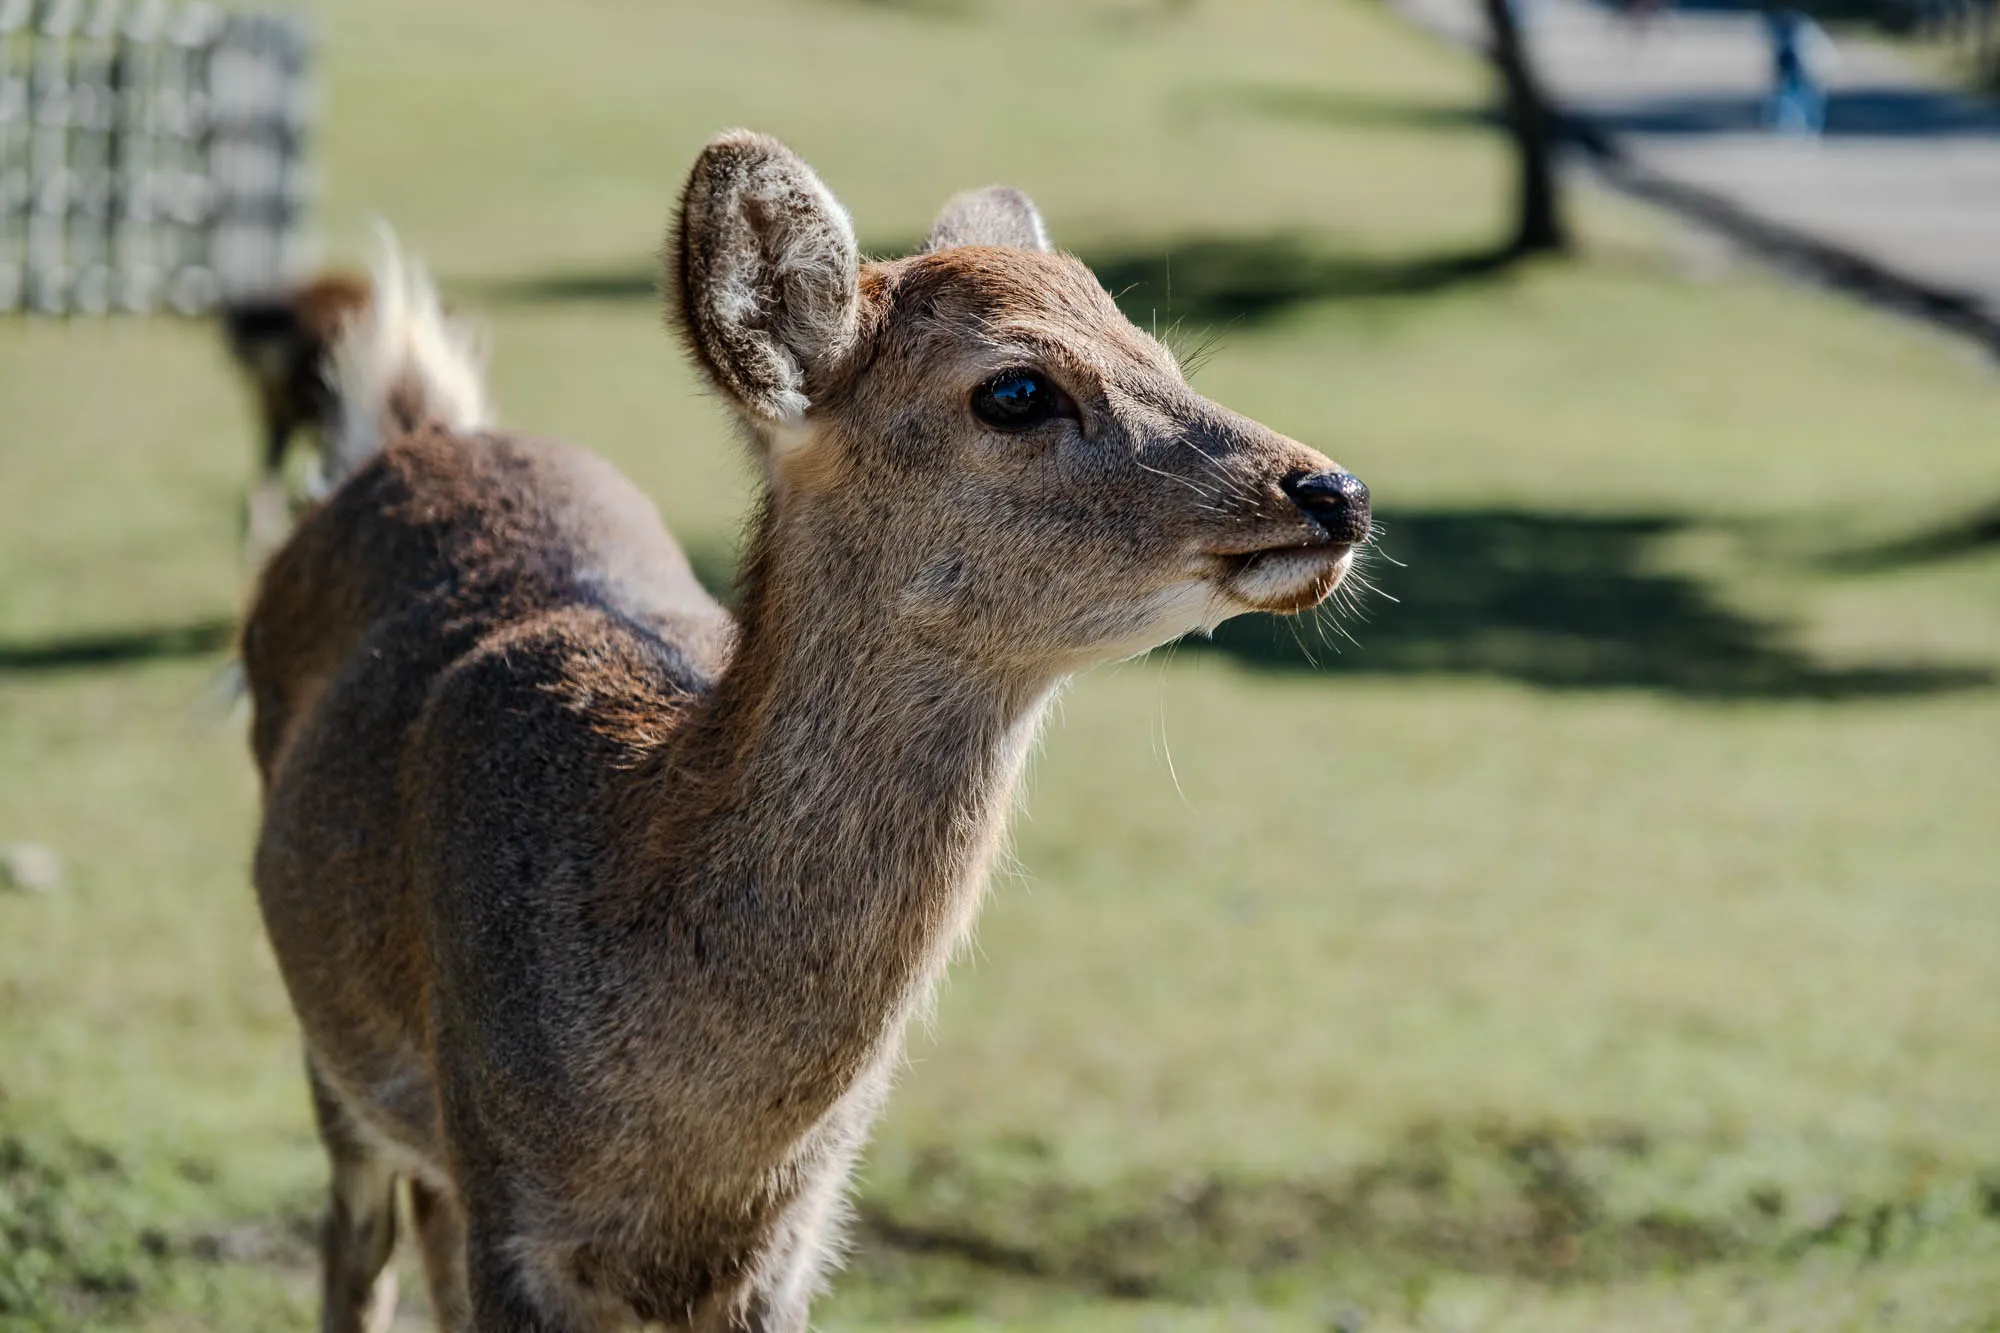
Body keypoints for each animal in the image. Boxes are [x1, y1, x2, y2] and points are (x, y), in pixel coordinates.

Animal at [241, 129, 1371, 1333]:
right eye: (1016, 388)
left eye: (1159, 353)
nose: (1330, 490)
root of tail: (416, 435)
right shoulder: (508, 1200)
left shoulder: (792, 1241)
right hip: (330, 1050)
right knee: (356, 1244)